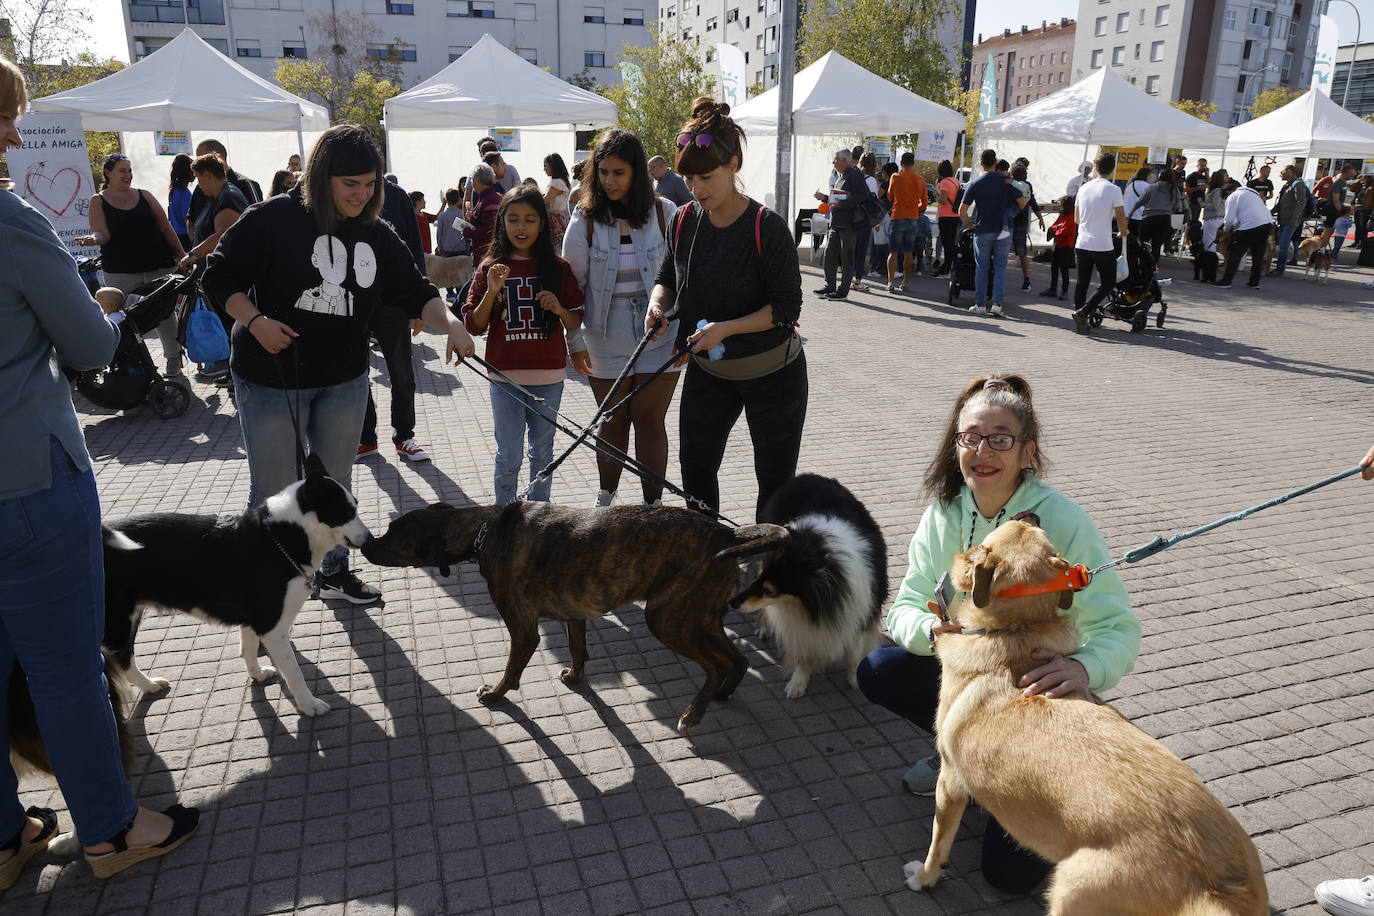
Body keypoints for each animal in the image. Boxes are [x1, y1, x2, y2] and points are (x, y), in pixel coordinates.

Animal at [359, 502, 791, 730]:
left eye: (392, 533)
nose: (363, 544)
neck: (483, 529)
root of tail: (729, 535)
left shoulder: (524, 631)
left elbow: (512, 671)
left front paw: (496, 695)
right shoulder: (574, 614)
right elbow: (577, 649)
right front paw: (575, 677)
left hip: (668, 618)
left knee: (716, 666)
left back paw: (694, 712)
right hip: (700, 618)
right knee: (736, 660)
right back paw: (722, 696)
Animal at [736, 477, 884, 697]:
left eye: (771, 591)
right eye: (760, 578)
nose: (733, 603)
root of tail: (804, 476)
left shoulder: (860, 613)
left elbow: (852, 654)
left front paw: (855, 680)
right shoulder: (802, 626)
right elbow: (804, 654)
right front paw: (797, 683)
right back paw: (763, 627)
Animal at [901, 519, 1264, 911]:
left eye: (1013, 523)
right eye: (1029, 529)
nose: (1031, 514)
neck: (1016, 630)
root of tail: (1213, 885)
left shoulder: (950, 782)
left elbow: (938, 843)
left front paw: (924, 877)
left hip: (1069, 890)